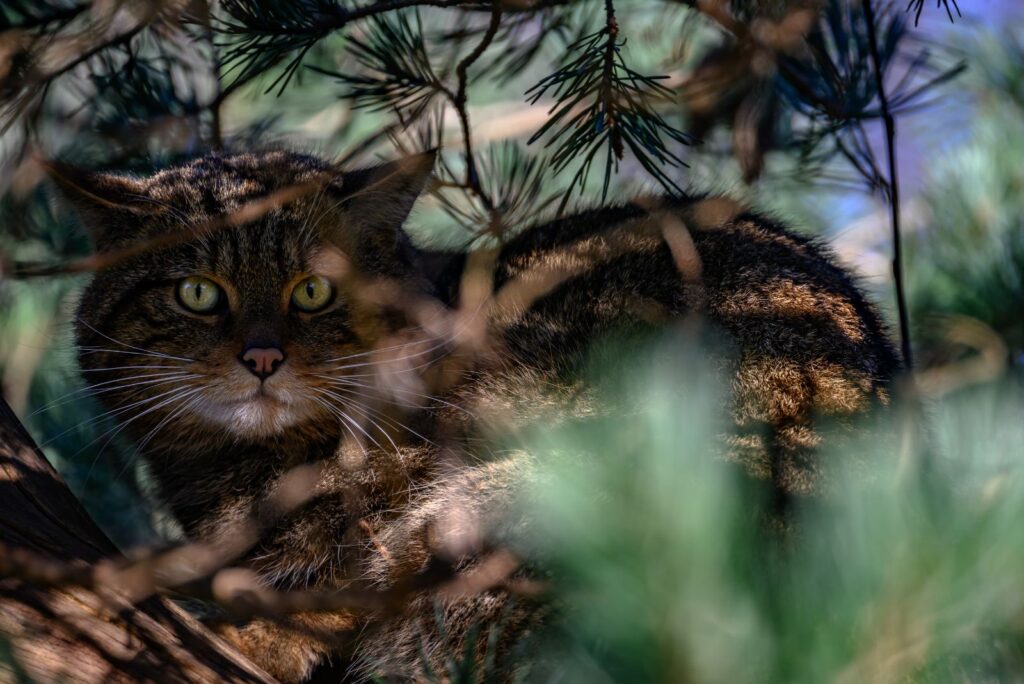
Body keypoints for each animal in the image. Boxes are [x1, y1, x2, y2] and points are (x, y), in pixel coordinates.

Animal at [58, 149, 897, 679]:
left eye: (314, 290)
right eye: (198, 292)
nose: (262, 357)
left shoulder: (400, 492)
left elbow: (334, 591)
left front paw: (253, 631)